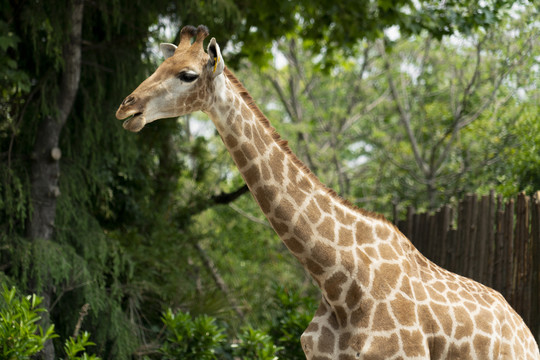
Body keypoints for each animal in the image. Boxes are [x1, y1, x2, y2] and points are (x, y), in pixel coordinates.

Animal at [116, 25, 536, 360]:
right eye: (158, 67)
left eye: (187, 75)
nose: (126, 108)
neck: (335, 280)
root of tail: (526, 334)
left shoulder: (403, 356)